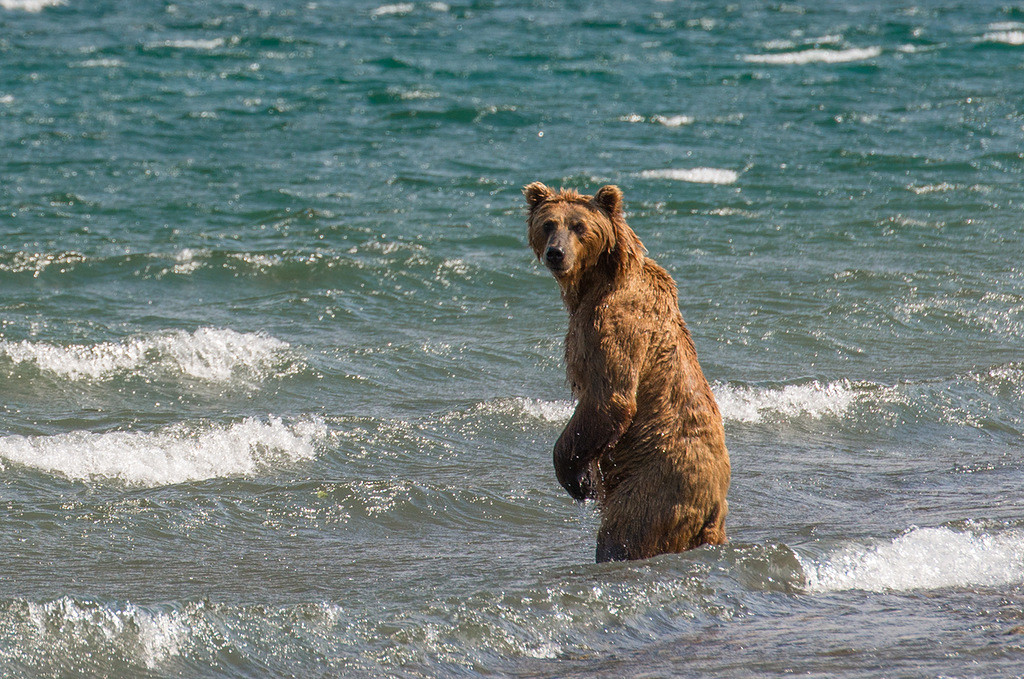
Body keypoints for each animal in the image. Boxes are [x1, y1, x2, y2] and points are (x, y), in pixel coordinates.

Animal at [524, 181, 730, 563]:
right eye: (548, 224)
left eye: (579, 226)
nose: (556, 253)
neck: (596, 279)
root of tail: (714, 504)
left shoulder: (612, 322)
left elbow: (610, 398)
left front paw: (578, 481)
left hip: (656, 487)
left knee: (623, 534)